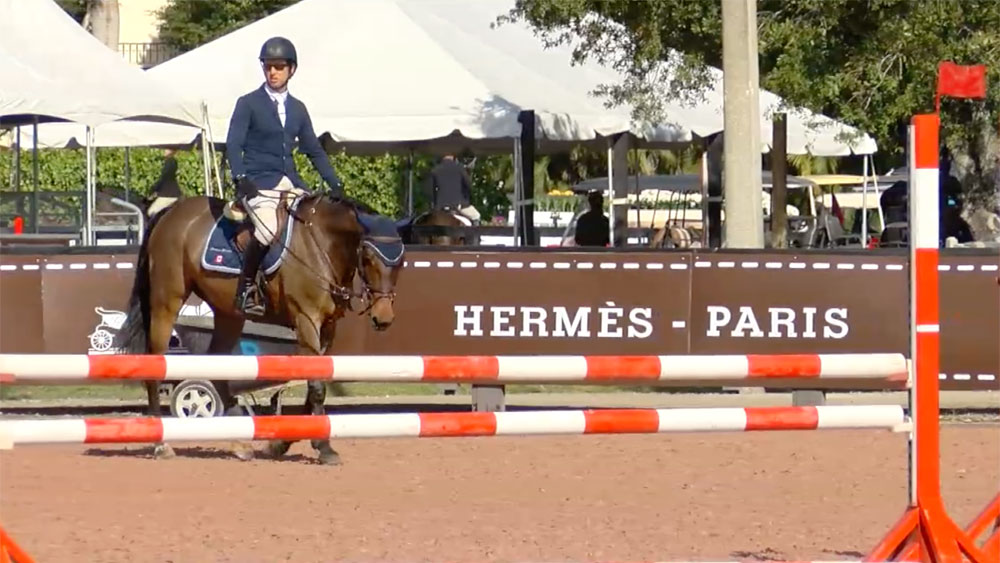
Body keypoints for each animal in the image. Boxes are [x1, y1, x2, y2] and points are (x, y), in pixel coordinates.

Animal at [115, 192, 405, 465]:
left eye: (400, 263)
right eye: (368, 258)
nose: (383, 318)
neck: (322, 246)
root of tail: (173, 210)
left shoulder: (327, 328)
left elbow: (317, 383)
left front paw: (282, 444)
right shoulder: (306, 320)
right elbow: (316, 386)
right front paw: (324, 448)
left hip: (228, 314)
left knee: (217, 365)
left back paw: (237, 442)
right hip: (167, 301)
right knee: (155, 364)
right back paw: (161, 444)